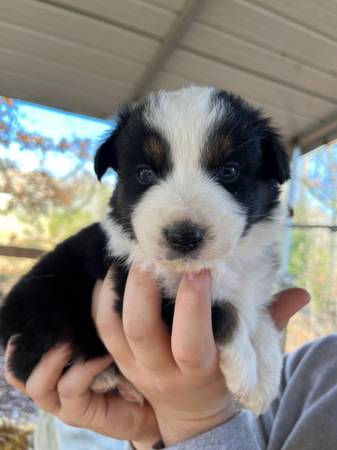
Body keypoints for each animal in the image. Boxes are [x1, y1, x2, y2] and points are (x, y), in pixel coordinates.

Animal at [0, 87, 288, 414]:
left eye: (229, 171)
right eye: (145, 174)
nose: (183, 236)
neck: (215, 266)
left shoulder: (253, 285)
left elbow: (260, 320)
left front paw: (265, 381)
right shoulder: (143, 291)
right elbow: (229, 314)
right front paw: (247, 377)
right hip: (46, 311)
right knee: (25, 360)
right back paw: (106, 378)